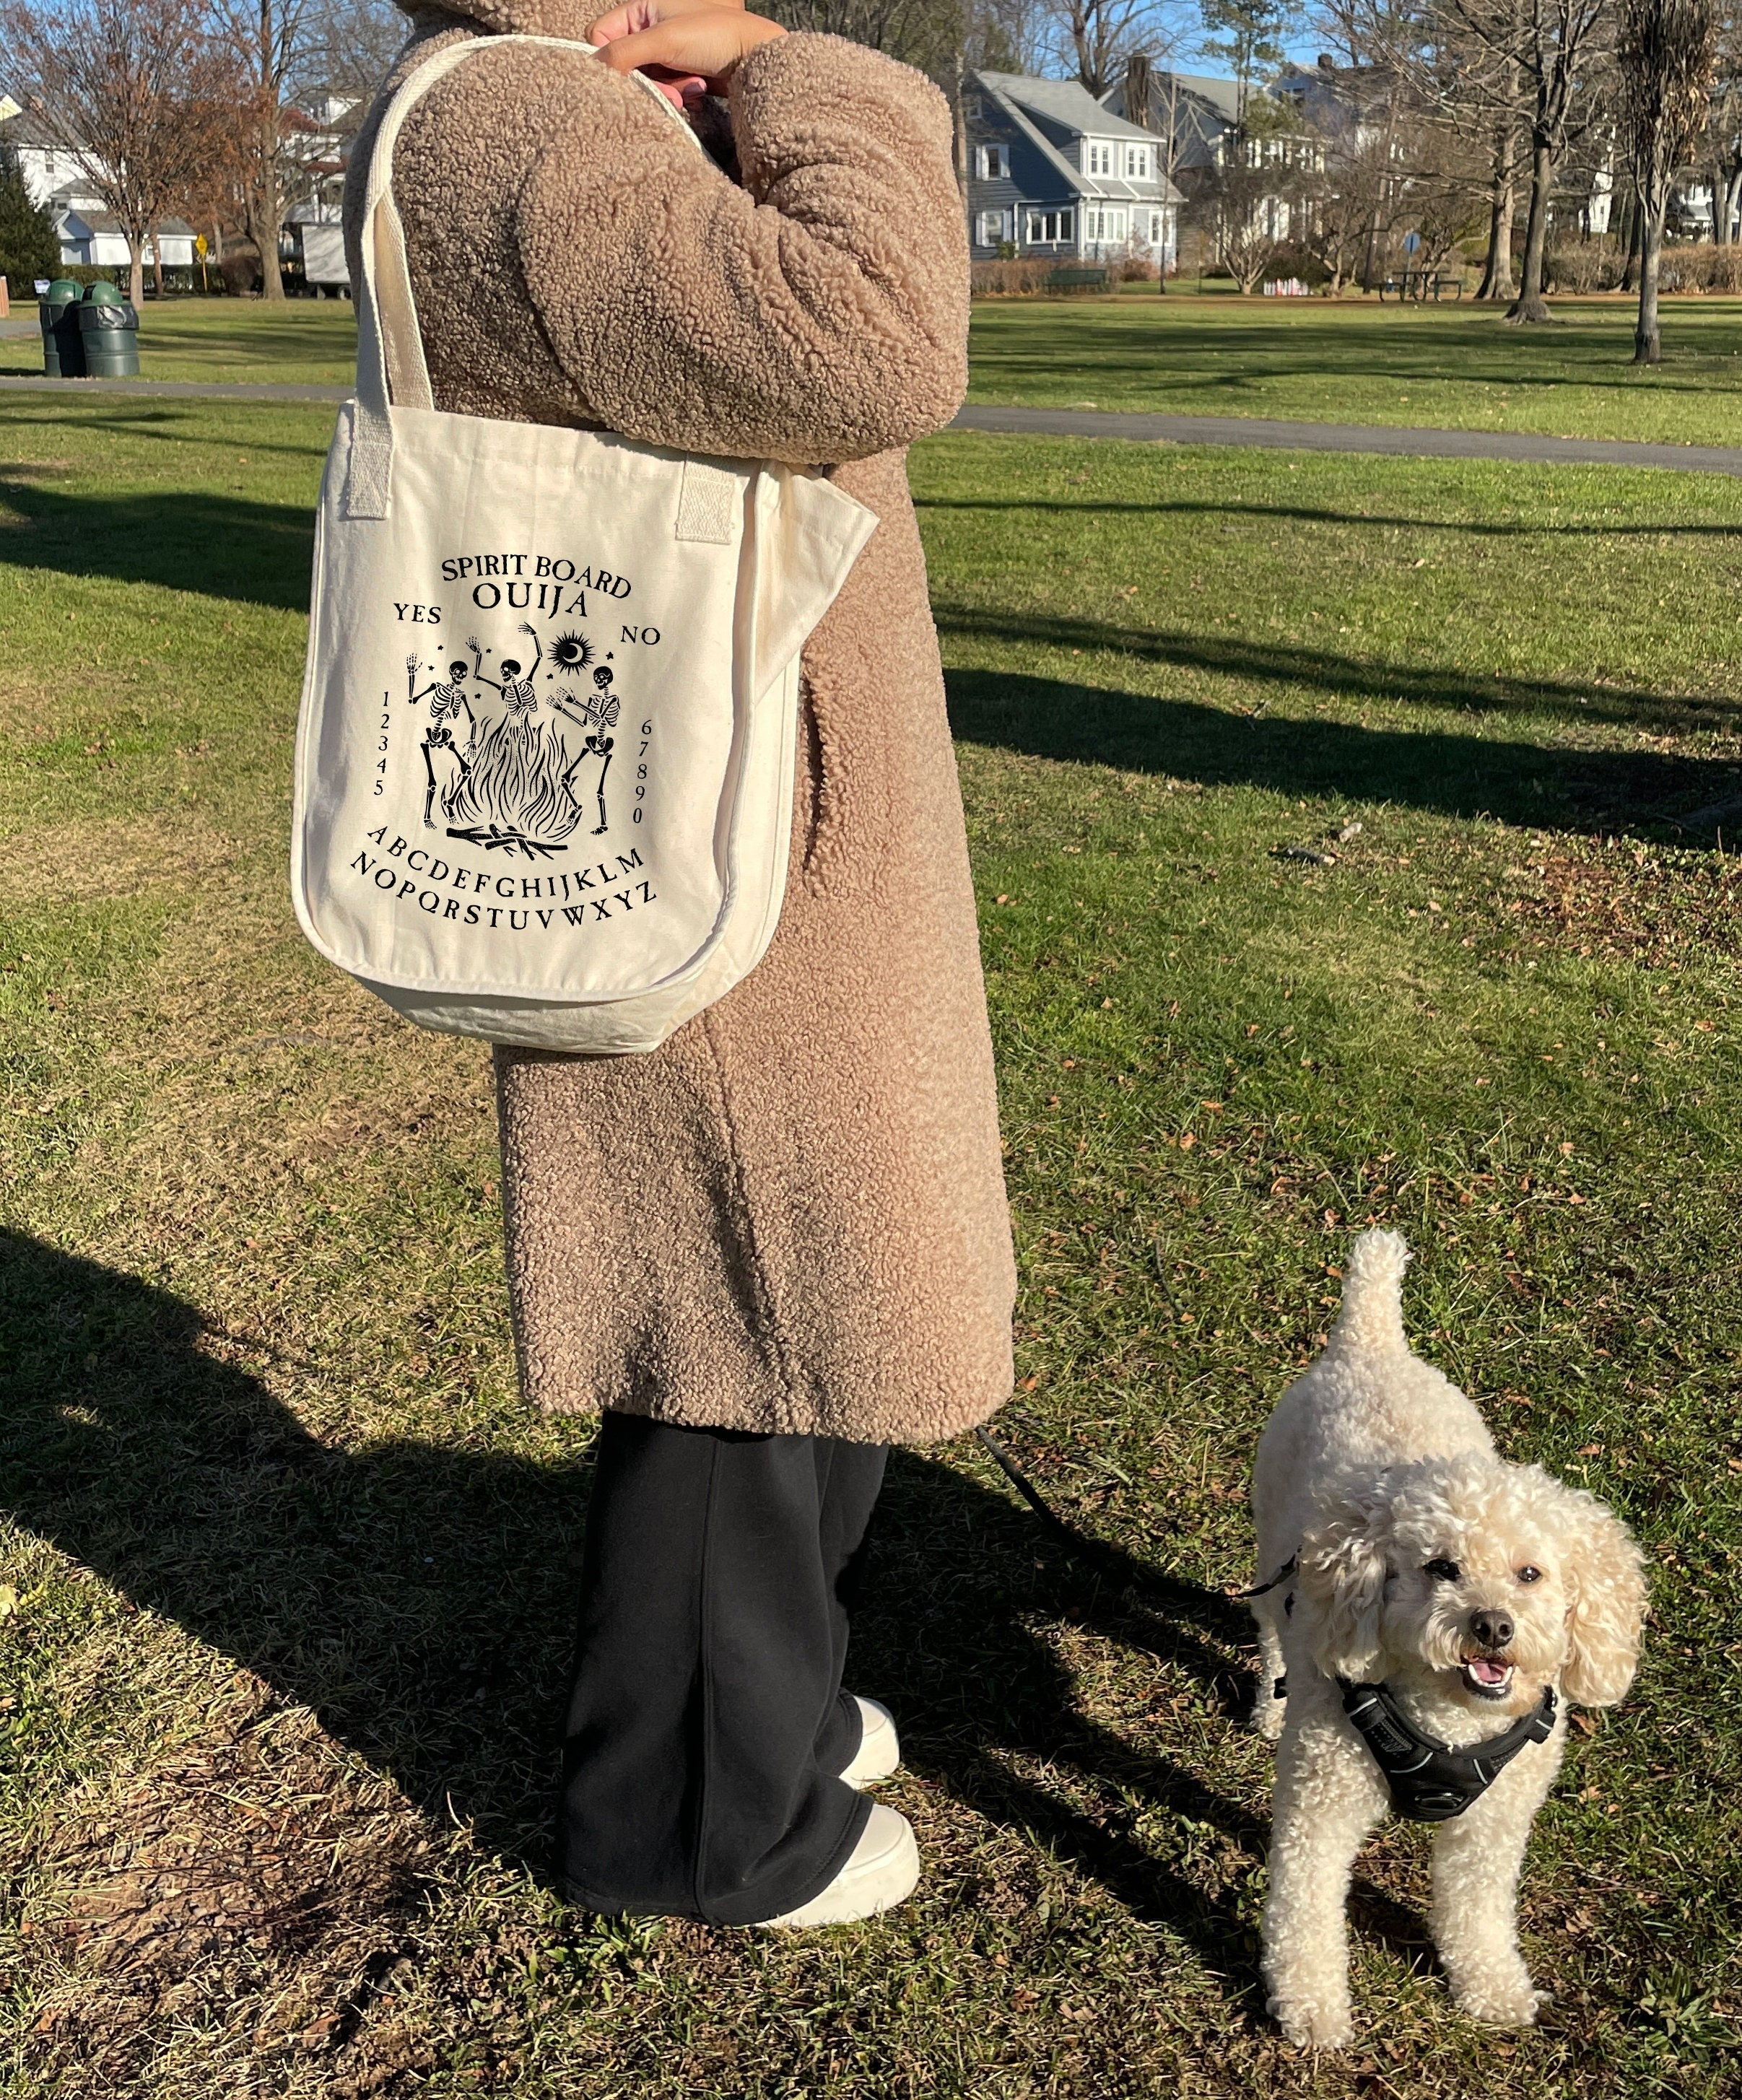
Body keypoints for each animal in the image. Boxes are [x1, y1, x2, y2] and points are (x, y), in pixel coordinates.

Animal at [1252, 1226, 1647, 2049]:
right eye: (1441, 1567)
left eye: (1530, 1572)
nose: (1491, 1625)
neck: (1450, 1720)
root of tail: (1369, 1339)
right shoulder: (1321, 1804)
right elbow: (1304, 1907)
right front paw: (1311, 2004)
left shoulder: (1492, 1826)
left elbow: (1477, 1909)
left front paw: (1491, 1986)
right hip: (1273, 1559)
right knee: (1273, 1632)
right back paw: (1270, 1702)